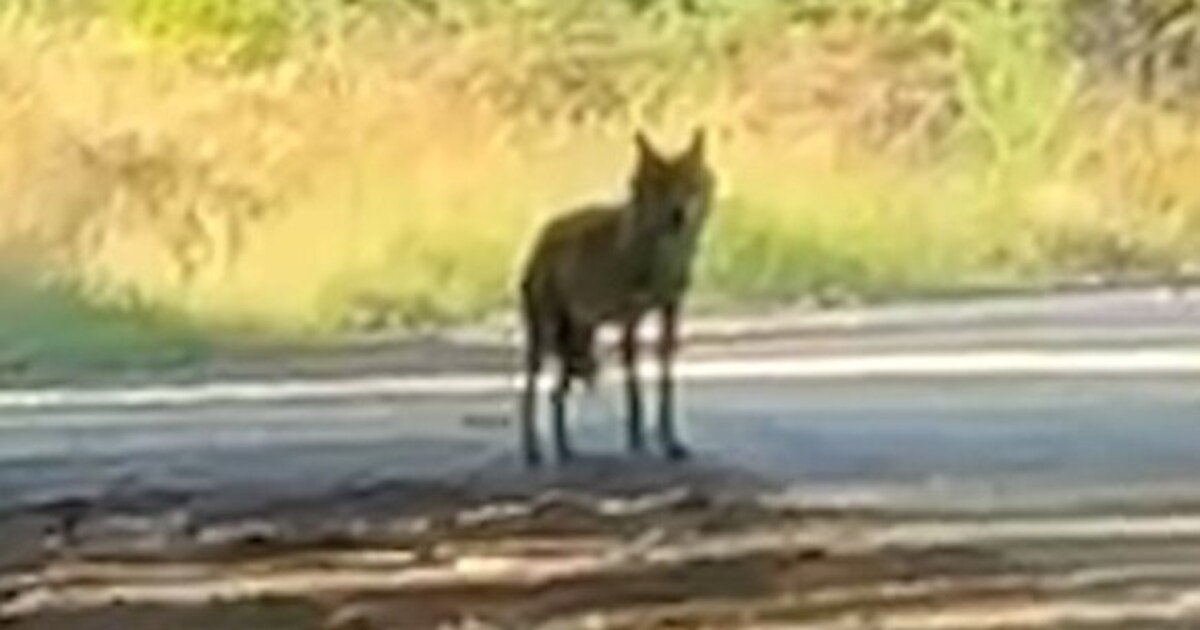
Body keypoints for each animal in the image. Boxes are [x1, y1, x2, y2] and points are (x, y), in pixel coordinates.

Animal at [517, 128, 715, 466]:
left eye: (689, 184)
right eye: (660, 186)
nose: (678, 215)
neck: (660, 259)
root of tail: (541, 237)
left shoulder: (669, 311)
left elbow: (666, 380)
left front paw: (670, 443)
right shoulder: (629, 321)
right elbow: (633, 387)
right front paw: (638, 442)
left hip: (580, 342)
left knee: (556, 394)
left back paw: (565, 450)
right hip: (546, 338)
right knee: (529, 391)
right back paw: (533, 452)